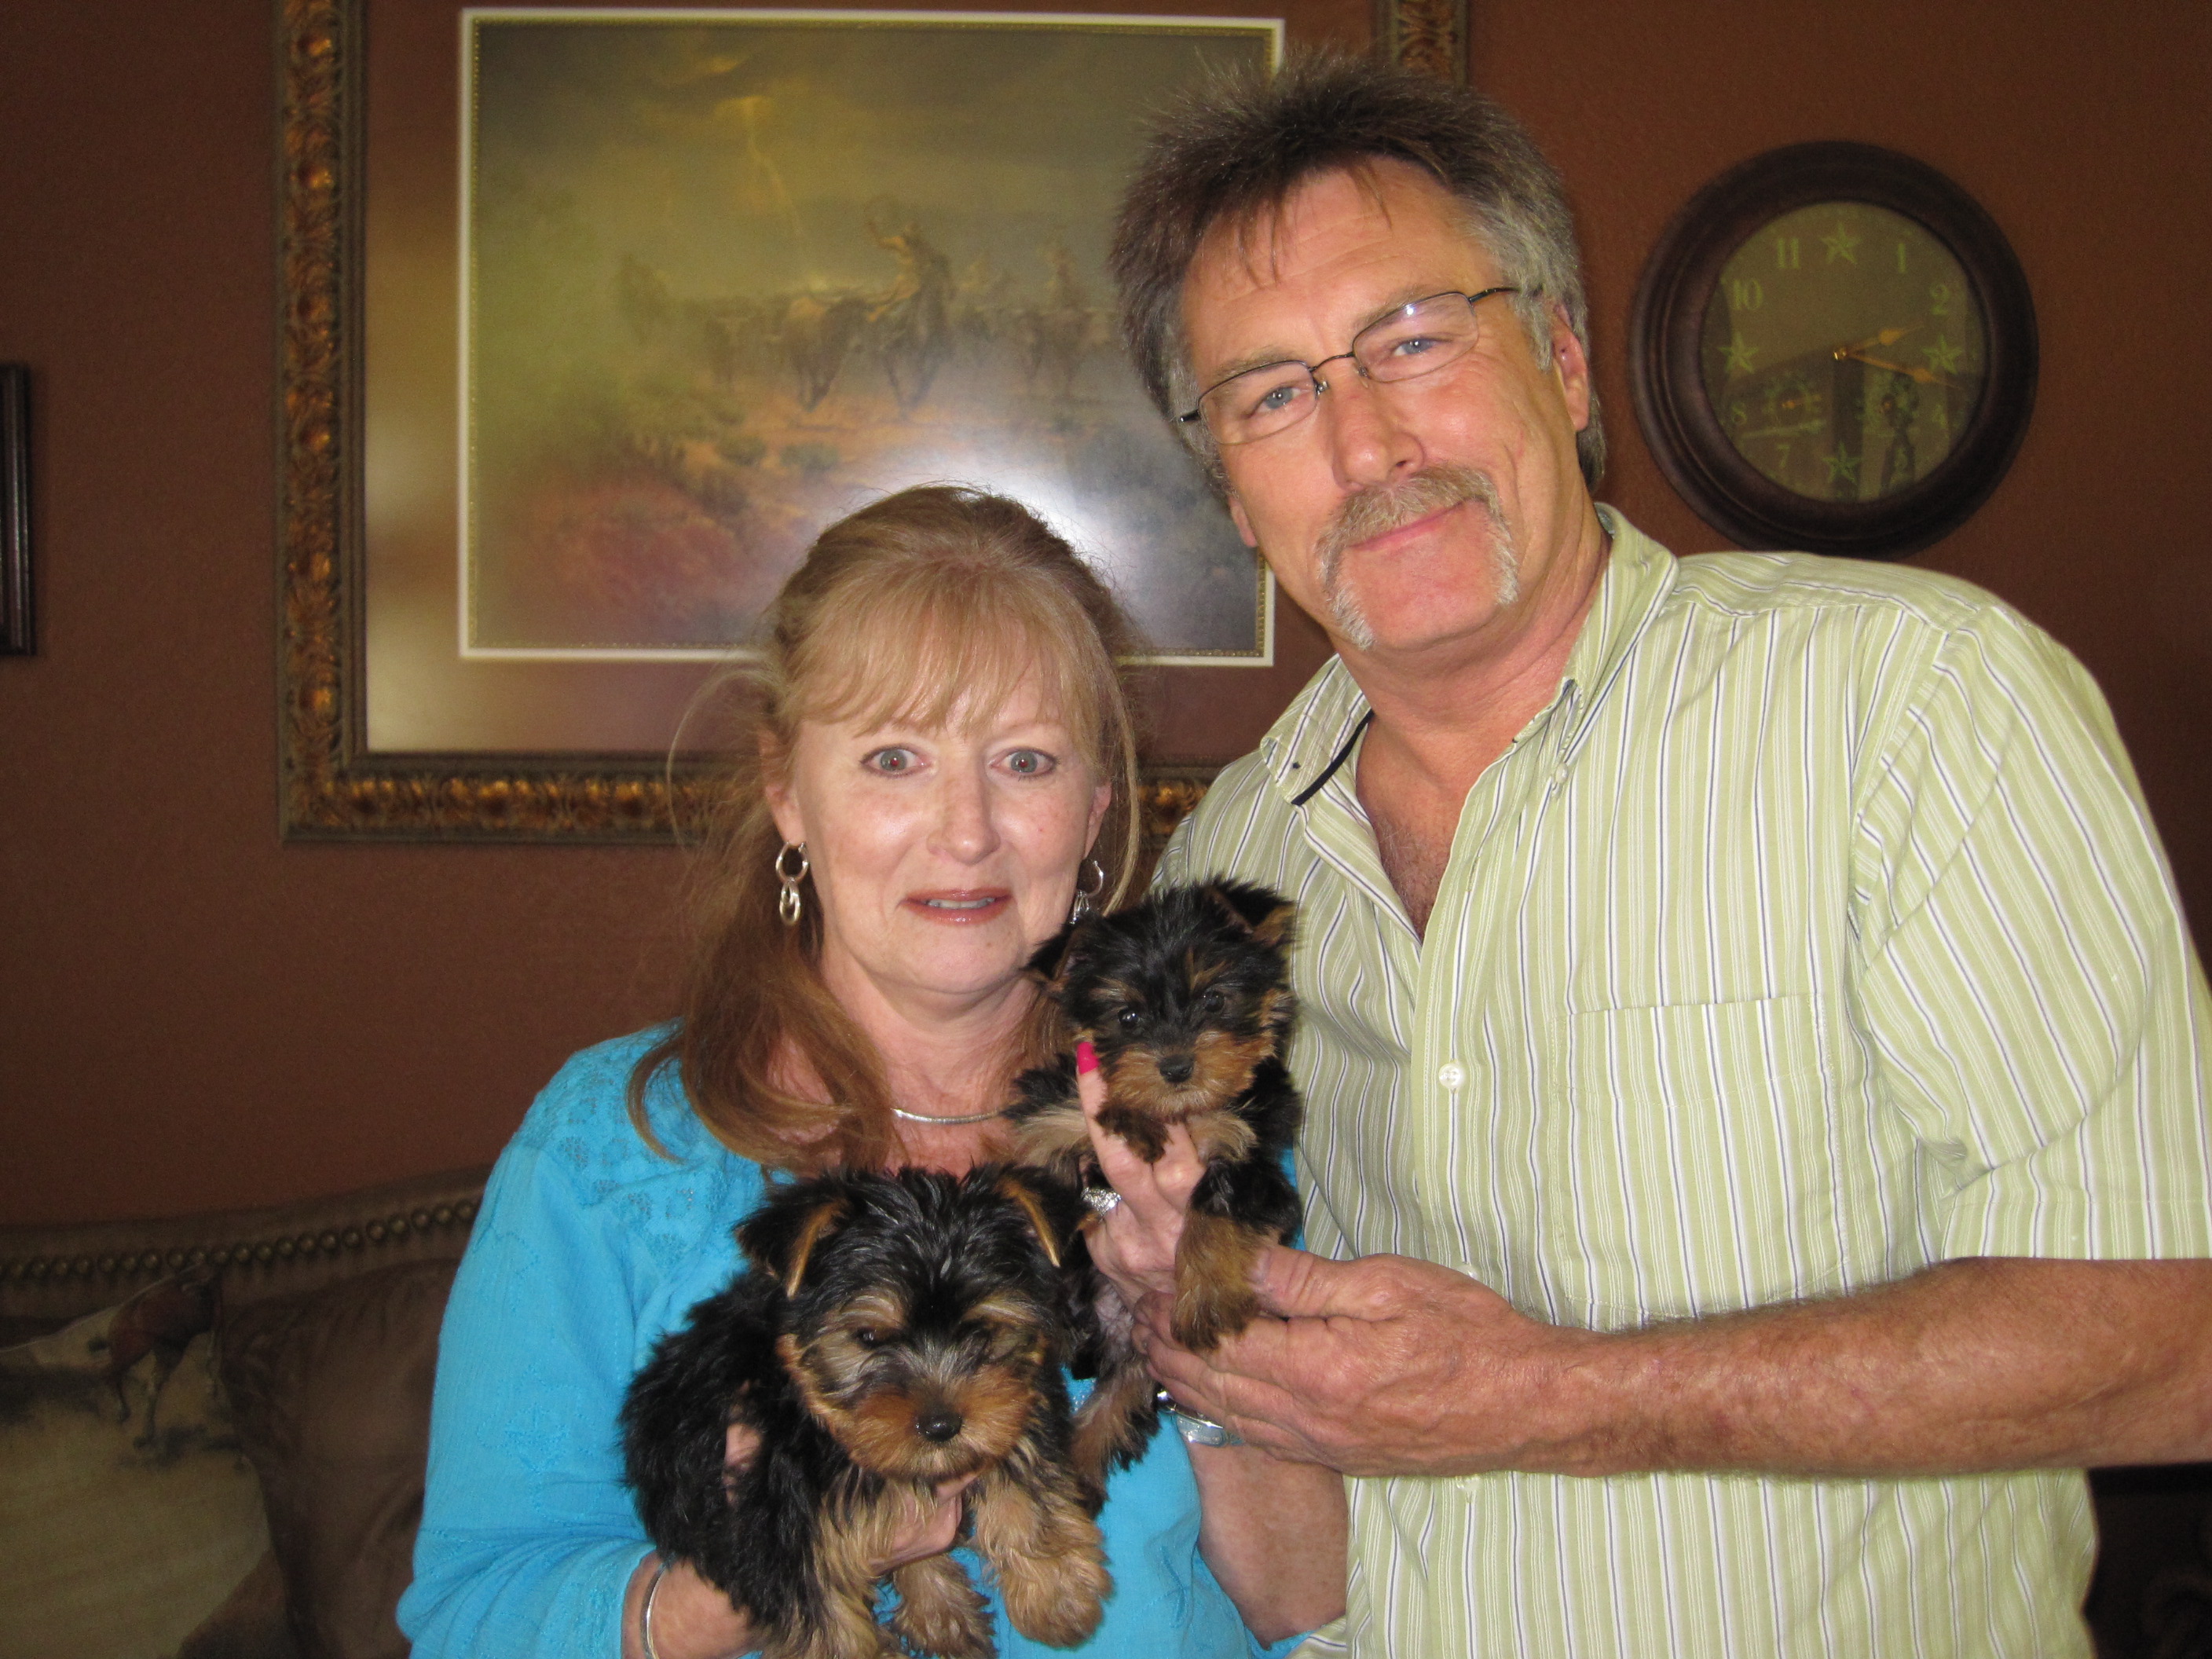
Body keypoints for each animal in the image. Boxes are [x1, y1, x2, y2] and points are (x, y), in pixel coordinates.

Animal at [621, 1166, 1111, 1659]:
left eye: (983, 1330)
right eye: (870, 1337)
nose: (942, 1426)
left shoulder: (1011, 1404)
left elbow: (1021, 1468)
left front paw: (1057, 1591)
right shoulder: (778, 1524)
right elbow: (826, 1623)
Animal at [1006, 879, 1304, 1483]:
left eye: (1213, 1000)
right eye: (1128, 1017)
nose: (1175, 1067)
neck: (1185, 1113)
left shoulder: (1256, 1160)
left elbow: (1220, 1197)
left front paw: (1206, 1295)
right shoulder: (1053, 1116)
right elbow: (1047, 1161)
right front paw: (1133, 1113)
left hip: (1138, 1364)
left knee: (1106, 1416)